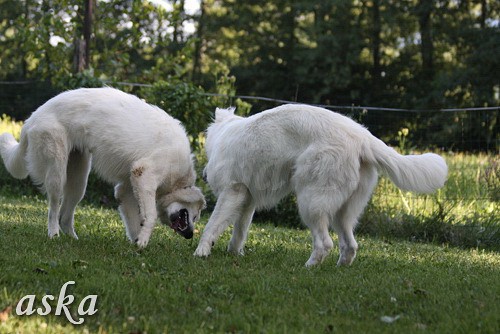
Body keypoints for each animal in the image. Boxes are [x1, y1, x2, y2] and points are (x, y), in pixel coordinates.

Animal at [0, 87, 205, 247]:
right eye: (195, 216)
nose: (190, 235)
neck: (178, 180)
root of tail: (32, 118)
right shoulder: (144, 174)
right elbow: (151, 216)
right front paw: (143, 241)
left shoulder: (127, 188)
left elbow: (134, 222)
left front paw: (137, 243)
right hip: (57, 174)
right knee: (53, 210)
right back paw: (53, 234)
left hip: (79, 180)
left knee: (65, 217)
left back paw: (73, 239)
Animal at [193, 104, 448, 266]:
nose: (203, 176)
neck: (224, 134)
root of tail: (362, 137)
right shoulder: (247, 199)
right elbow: (240, 230)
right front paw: (234, 254)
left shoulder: (232, 192)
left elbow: (212, 225)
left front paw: (201, 251)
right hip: (342, 212)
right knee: (350, 245)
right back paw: (339, 268)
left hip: (311, 203)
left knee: (325, 243)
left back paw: (308, 267)